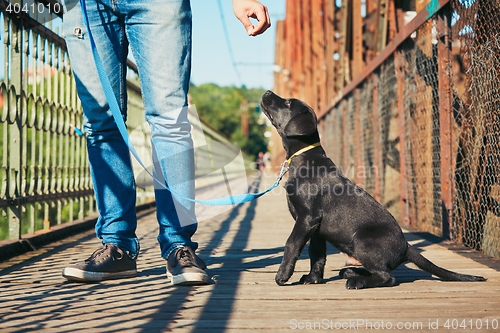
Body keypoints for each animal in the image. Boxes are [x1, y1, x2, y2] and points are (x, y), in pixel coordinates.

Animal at [260, 91, 486, 288]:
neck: (304, 158)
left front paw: (282, 275)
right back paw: (351, 272)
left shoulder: (307, 218)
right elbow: (317, 254)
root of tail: (407, 246)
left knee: (387, 277)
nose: (268, 92)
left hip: (362, 240)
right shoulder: (315, 228)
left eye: (288, 102)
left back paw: (357, 281)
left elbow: (291, 244)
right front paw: (313, 279)